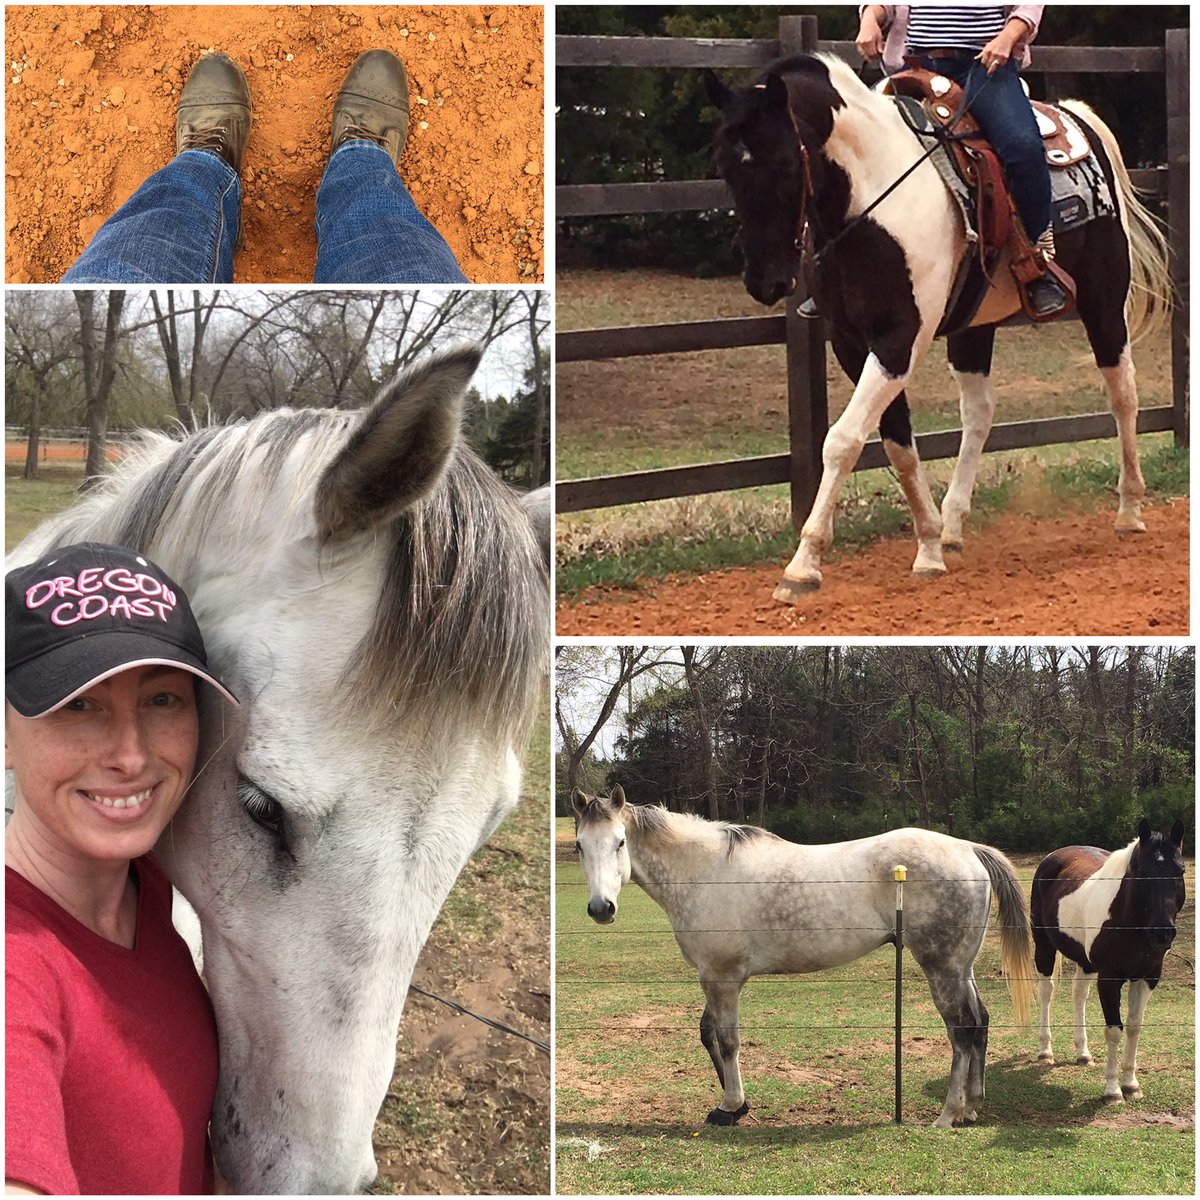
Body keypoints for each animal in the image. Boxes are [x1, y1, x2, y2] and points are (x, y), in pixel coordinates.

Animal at [571, 786, 1033, 1129]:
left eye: (620, 842)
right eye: (579, 846)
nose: (600, 908)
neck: (703, 872)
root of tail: (968, 849)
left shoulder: (721, 977)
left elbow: (727, 1040)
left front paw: (731, 1105)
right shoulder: (715, 977)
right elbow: (707, 1034)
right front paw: (736, 1106)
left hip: (941, 969)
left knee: (961, 1030)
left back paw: (949, 1113)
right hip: (961, 968)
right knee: (979, 1022)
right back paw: (972, 1106)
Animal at [703, 54, 1171, 603]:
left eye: (782, 163)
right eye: (726, 167)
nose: (765, 282)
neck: (872, 202)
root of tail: (1078, 117)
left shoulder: (898, 341)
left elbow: (842, 440)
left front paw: (803, 565)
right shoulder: (851, 343)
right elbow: (897, 446)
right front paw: (927, 544)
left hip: (1103, 303)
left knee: (1123, 394)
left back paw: (1129, 510)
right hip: (974, 328)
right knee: (979, 413)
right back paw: (952, 526)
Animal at [1031, 819, 1186, 1103]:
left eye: (1179, 871)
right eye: (1141, 871)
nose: (1162, 933)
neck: (1128, 922)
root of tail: (1053, 857)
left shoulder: (1147, 977)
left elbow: (1134, 1027)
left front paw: (1131, 1085)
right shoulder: (1109, 980)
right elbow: (1114, 1030)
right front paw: (1113, 1091)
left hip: (1084, 962)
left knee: (1078, 994)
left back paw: (1083, 1054)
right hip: (1044, 947)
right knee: (1047, 992)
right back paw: (1045, 1052)